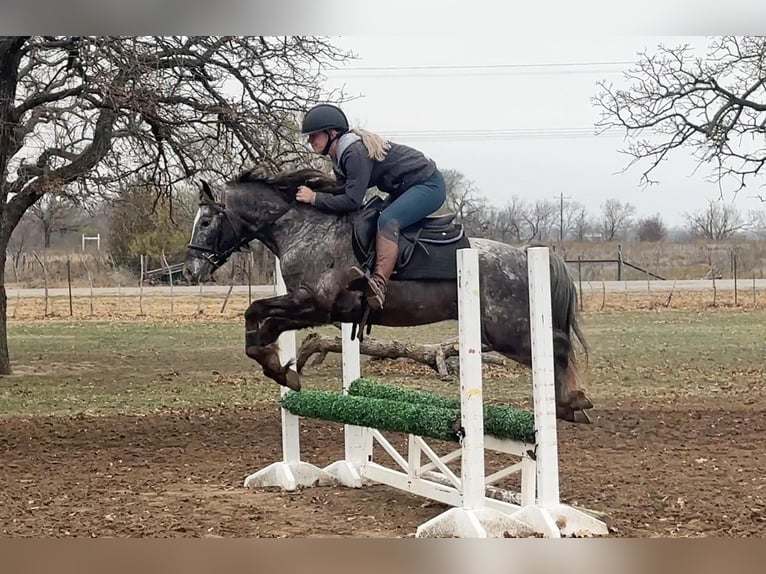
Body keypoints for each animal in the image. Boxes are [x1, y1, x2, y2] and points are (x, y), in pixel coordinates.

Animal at [183, 166, 596, 424]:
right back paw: (569, 406)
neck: (305, 229)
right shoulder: (311, 307)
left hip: (508, 332)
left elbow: (258, 313)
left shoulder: (314, 304)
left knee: (557, 349)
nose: (190, 271)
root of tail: (525, 255)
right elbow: (259, 318)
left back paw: (572, 402)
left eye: (206, 222)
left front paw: (277, 366)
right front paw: (278, 366)